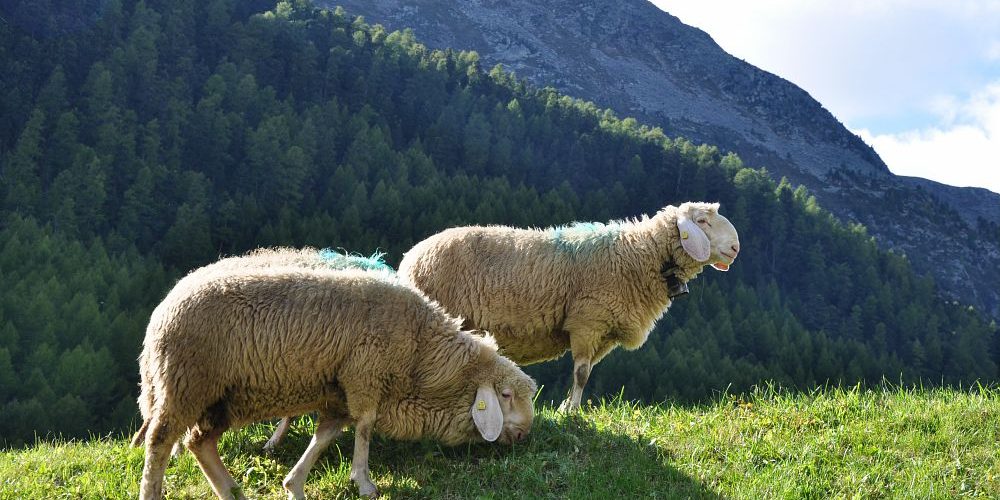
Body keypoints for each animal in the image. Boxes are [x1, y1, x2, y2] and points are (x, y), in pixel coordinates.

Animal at [135, 264, 540, 498]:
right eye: (505, 395)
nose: (523, 435)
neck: (421, 352)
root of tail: (160, 312)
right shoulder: (365, 375)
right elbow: (365, 427)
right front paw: (363, 482)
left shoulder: (339, 391)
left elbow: (326, 434)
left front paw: (294, 485)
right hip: (185, 385)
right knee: (160, 443)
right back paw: (154, 491)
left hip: (221, 397)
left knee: (199, 443)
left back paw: (231, 491)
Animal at [400, 201, 744, 412]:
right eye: (702, 221)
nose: (736, 248)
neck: (637, 254)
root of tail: (410, 259)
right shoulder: (588, 320)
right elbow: (580, 373)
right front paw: (573, 411)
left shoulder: (605, 333)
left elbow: (587, 371)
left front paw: (567, 406)